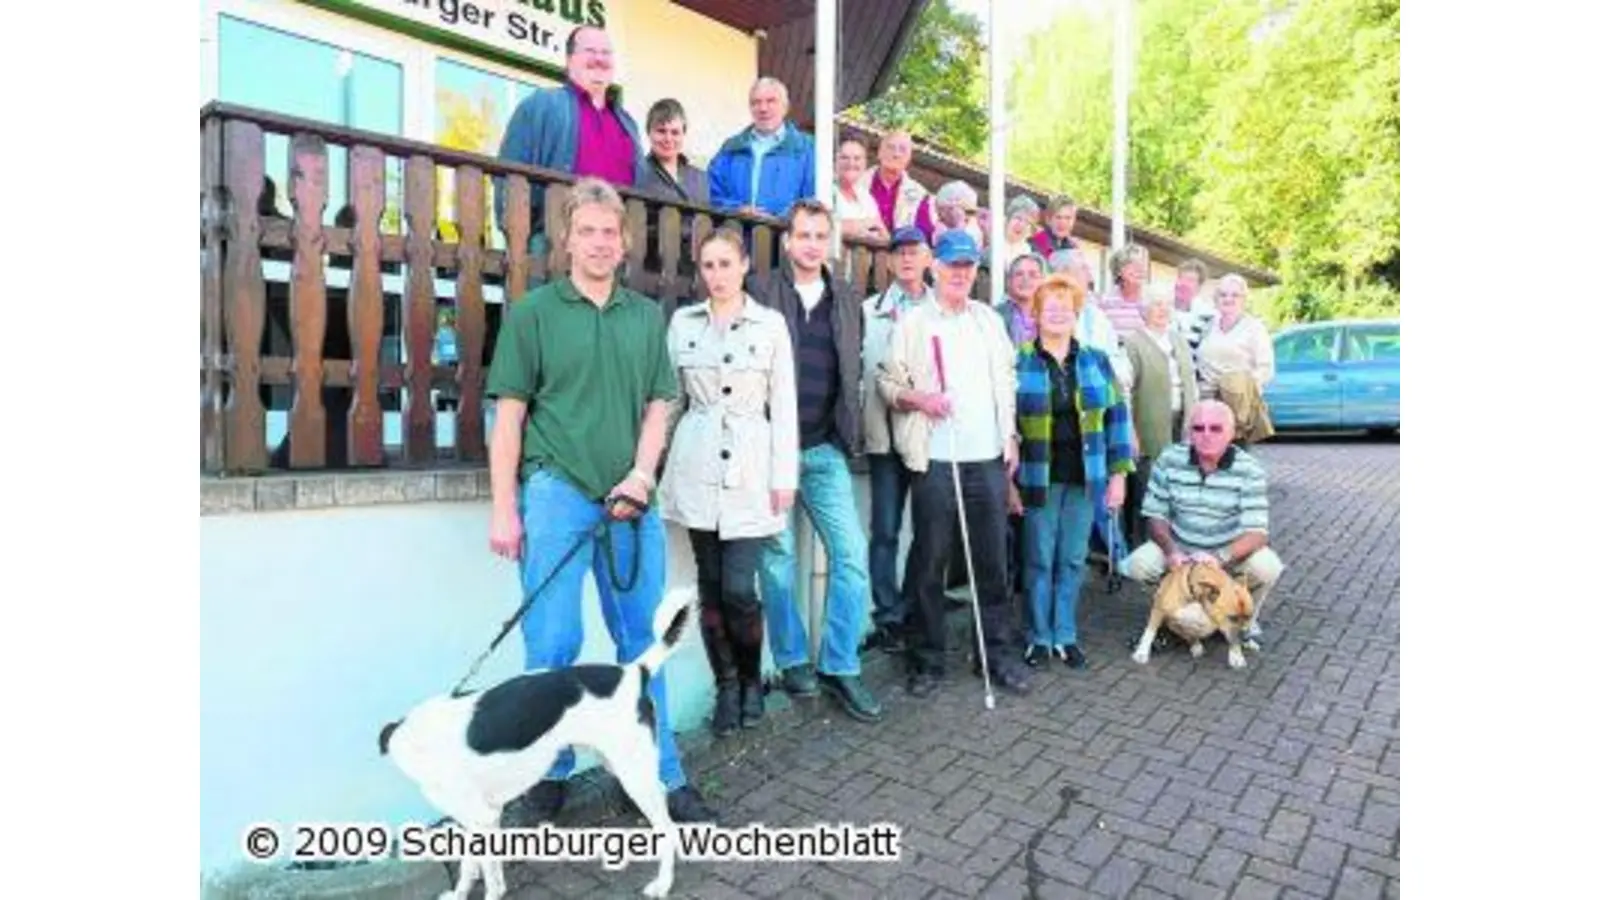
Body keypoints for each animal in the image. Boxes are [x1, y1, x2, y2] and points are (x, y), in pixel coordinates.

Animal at [380, 586, 700, 890]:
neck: (419, 737)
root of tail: (633, 671)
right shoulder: (476, 818)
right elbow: (469, 867)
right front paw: (460, 892)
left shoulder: (481, 816)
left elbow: (491, 877)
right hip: (622, 764)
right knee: (662, 797)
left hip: (632, 771)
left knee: (667, 828)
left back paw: (663, 883)